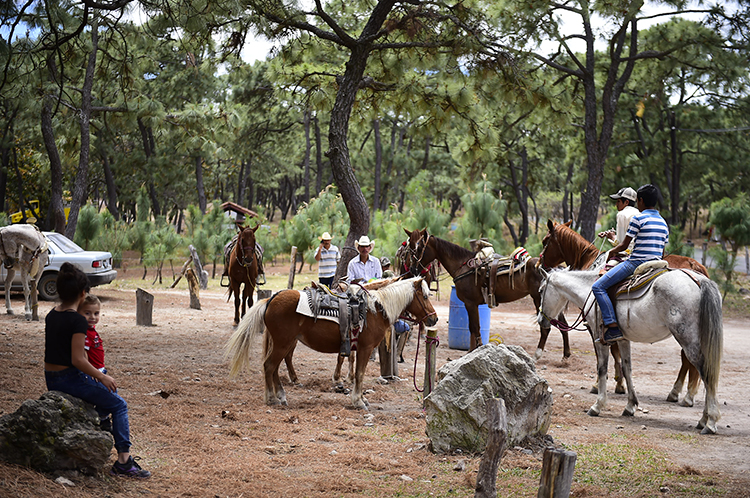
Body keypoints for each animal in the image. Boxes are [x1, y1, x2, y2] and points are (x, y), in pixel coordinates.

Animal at [226, 276, 438, 408]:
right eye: (425, 296)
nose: (434, 319)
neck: (375, 309)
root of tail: (271, 299)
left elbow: (355, 371)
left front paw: (360, 398)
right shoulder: (365, 349)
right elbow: (359, 374)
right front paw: (358, 401)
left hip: (282, 343)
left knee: (274, 367)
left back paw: (280, 395)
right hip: (283, 343)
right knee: (270, 366)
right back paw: (272, 398)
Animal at [408, 228, 572, 360]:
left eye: (419, 248)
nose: (413, 268)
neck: (463, 266)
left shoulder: (470, 303)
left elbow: (474, 327)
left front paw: (474, 350)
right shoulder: (472, 305)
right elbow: (473, 328)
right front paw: (471, 351)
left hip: (539, 300)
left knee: (546, 328)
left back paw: (537, 355)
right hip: (553, 303)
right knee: (563, 326)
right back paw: (565, 356)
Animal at [540, 220, 712, 406]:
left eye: (545, 241)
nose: (540, 264)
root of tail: (695, 267)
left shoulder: (596, 326)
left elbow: (606, 354)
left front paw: (606, 384)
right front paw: (620, 384)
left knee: (689, 357)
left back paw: (685, 395)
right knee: (687, 358)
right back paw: (680, 393)